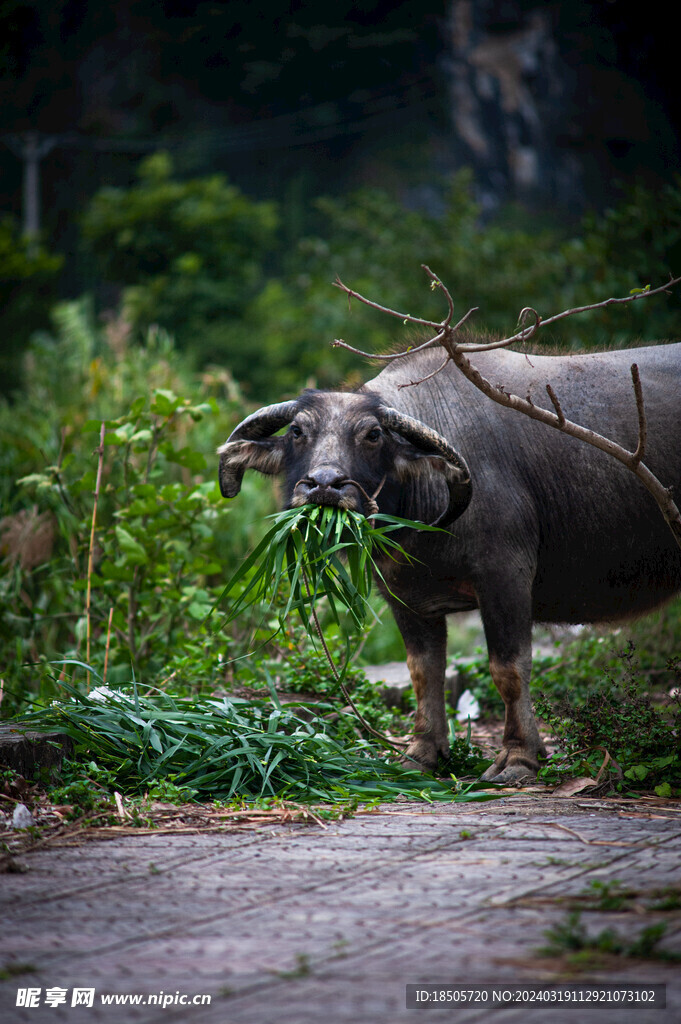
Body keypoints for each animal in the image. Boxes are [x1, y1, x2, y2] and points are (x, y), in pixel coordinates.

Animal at [218, 339, 679, 778]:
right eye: (297, 430)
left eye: (373, 435)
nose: (324, 485)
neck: (426, 516)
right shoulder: (404, 596)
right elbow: (423, 671)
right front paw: (423, 752)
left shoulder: (505, 577)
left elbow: (509, 668)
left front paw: (519, 757)